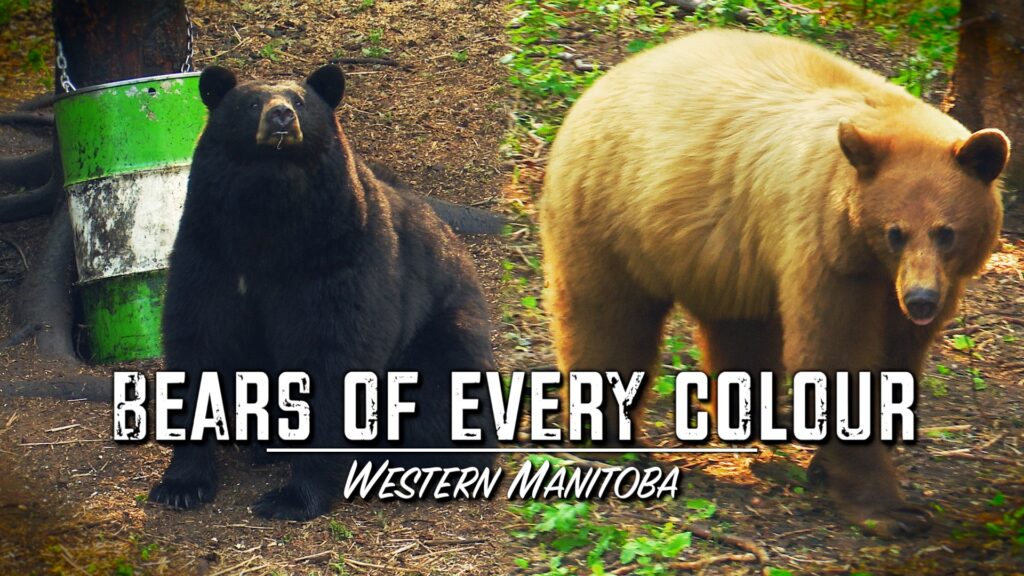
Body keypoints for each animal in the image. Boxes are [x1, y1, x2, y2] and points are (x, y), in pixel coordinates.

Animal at [149, 64, 497, 521]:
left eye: (300, 101)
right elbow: (198, 338)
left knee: (446, 389)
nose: (281, 116)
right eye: (251, 103)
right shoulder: (210, 249)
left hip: (442, 330)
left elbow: (333, 354)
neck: (269, 212)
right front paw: (181, 484)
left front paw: (292, 496)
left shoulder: (339, 256)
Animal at [539, 29, 1009, 538]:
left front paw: (831, 467)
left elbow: (895, 359)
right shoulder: (825, 247)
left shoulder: (906, 284)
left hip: (726, 258)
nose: (921, 299)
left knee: (740, 334)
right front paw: (890, 510)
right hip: (611, 210)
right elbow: (833, 355)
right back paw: (608, 442)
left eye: (947, 233)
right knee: (608, 321)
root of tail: (604, 83)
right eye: (895, 232)